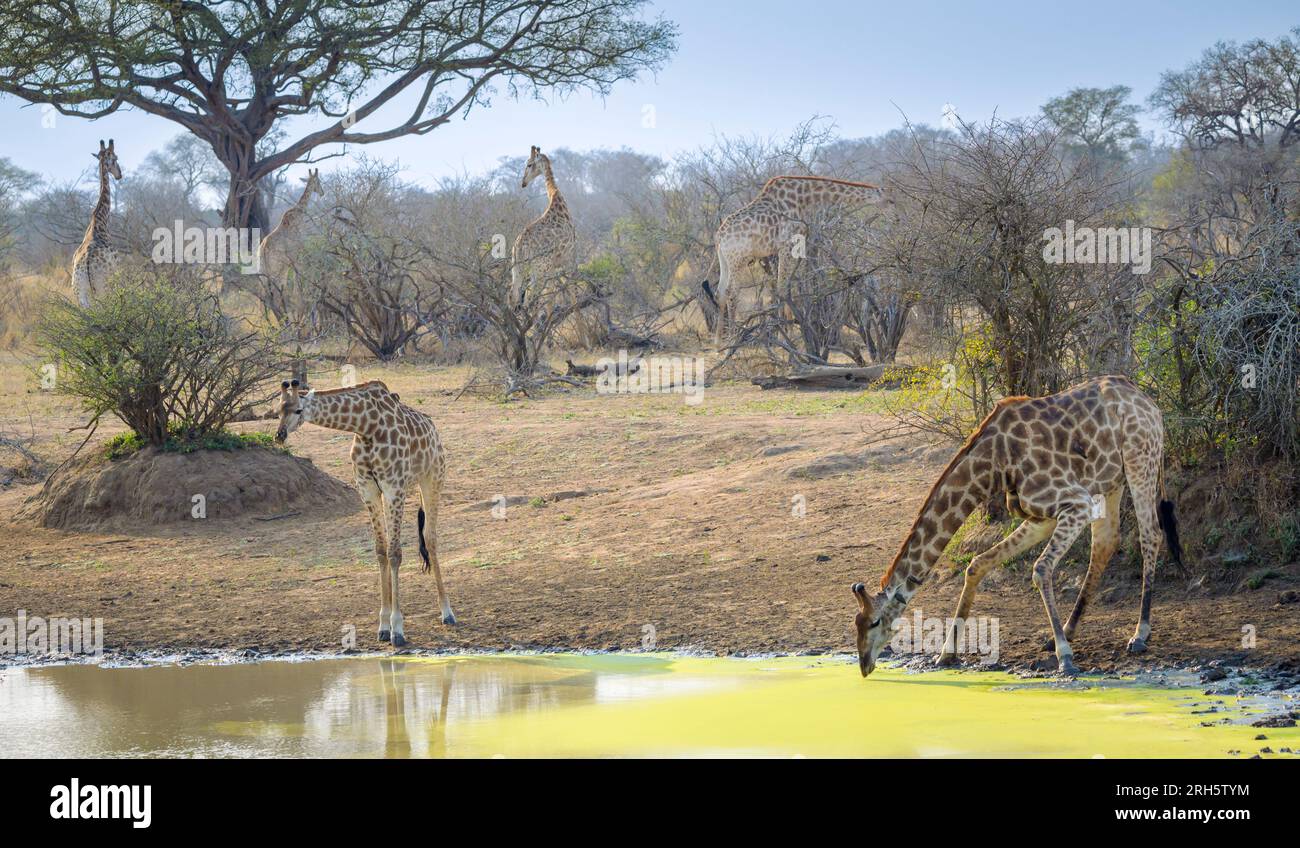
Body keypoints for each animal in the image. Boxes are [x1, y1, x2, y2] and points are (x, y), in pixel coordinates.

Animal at [70, 139, 124, 308]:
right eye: (116, 158)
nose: (119, 175)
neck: (100, 220)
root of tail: (86, 265)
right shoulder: (118, 270)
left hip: (81, 295)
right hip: (104, 288)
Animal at [274, 378, 454, 645]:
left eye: (297, 410)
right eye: (278, 410)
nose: (280, 435)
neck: (366, 427)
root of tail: (433, 430)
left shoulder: (393, 488)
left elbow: (395, 553)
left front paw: (397, 629)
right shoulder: (368, 490)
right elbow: (381, 551)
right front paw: (383, 626)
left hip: (433, 478)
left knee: (430, 539)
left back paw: (447, 612)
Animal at [512, 146, 576, 304]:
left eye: (529, 164)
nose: (523, 182)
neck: (555, 195)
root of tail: (519, 246)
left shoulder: (555, 265)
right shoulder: (570, 257)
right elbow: (571, 292)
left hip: (517, 269)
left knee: (513, 296)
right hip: (539, 269)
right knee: (531, 298)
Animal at [711, 175, 889, 341]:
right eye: (889, 199)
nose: (891, 213)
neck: (803, 196)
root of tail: (719, 237)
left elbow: (788, 287)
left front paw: (785, 332)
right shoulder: (787, 244)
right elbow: (782, 288)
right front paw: (786, 334)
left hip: (725, 260)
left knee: (720, 292)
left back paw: (719, 342)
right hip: (738, 258)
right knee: (732, 292)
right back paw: (732, 338)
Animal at [850, 375, 1185, 678]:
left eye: (875, 621)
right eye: (856, 622)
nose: (864, 665)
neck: (995, 463)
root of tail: (1151, 404)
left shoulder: (1076, 503)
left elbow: (1040, 569)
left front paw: (1066, 658)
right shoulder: (1041, 517)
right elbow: (977, 564)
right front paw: (946, 654)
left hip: (1140, 462)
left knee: (1150, 534)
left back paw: (1139, 634)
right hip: (1111, 478)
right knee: (1106, 542)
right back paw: (1067, 630)